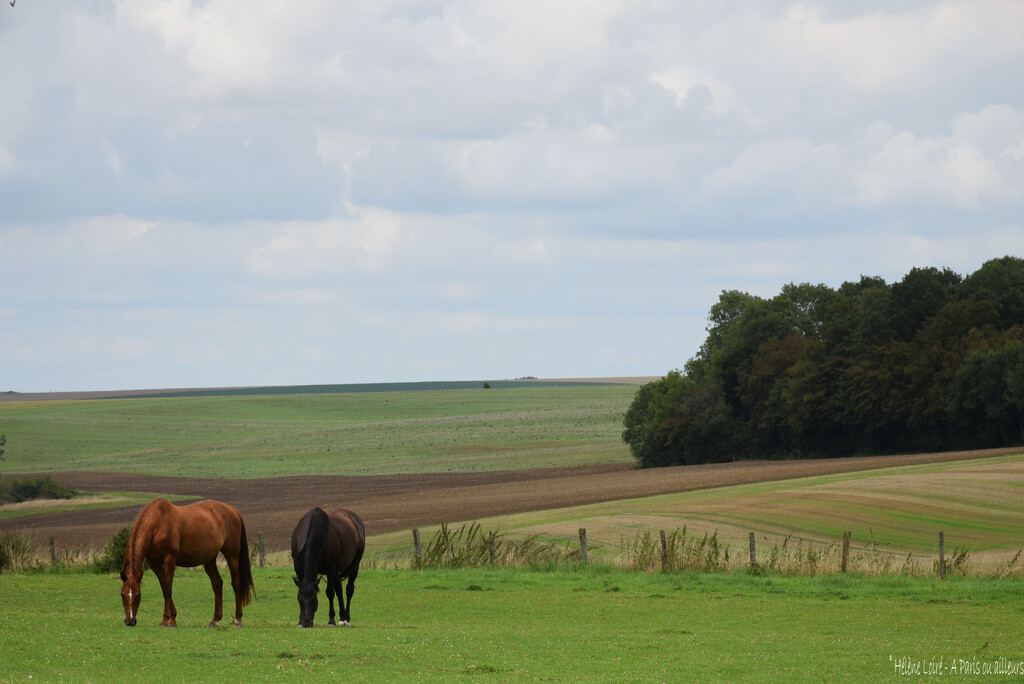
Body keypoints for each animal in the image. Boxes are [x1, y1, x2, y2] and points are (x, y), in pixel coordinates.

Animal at [120, 497, 254, 626]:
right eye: (122, 594)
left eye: (138, 594)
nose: (130, 621)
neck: (158, 523)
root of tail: (232, 509)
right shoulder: (154, 563)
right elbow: (164, 587)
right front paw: (172, 617)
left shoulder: (170, 559)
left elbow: (168, 588)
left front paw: (166, 621)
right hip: (209, 559)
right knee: (217, 584)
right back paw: (215, 620)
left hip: (232, 555)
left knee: (236, 584)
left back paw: (238, 620)